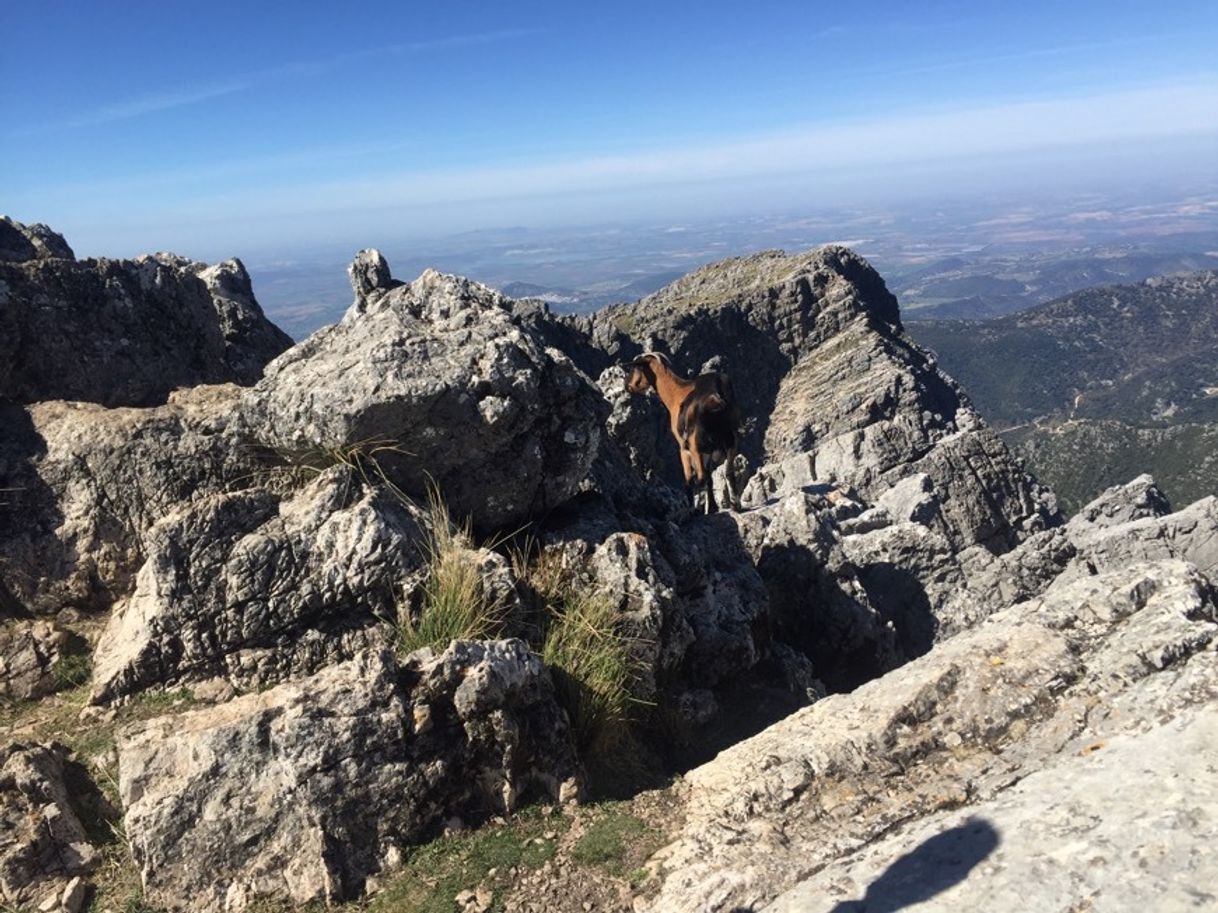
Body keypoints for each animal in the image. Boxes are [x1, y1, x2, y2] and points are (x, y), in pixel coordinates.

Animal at [628, 350, 740, 511]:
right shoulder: (708, 451)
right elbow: (710, 478)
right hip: (731, 438)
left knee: (700, 477)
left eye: (635, 368)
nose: (627, 385)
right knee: (728, 471)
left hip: (695, 445)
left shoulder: (684, 448)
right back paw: (735, 504)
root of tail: (716, 397)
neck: (676, 393)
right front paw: (712, 507)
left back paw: (698, 509)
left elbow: (689, 479)